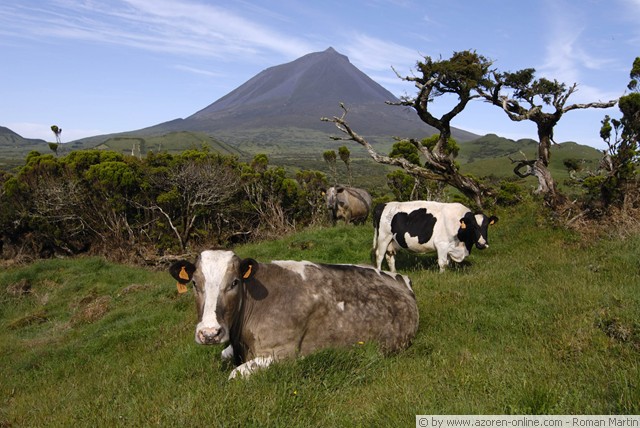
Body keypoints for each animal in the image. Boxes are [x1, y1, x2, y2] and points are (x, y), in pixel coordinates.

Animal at [169, 250, 418, 379]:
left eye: (234, 282)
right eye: (194, 283)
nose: (210, 333)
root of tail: (398, 277)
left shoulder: (283, 353)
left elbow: (234, 376)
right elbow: (223, 355)